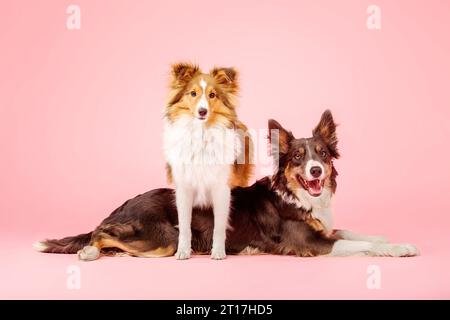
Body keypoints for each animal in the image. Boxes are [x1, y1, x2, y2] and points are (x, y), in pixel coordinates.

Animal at [34, 110, 418, 260]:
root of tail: (123, 204)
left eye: (322, 154)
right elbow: (358, 244)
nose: (315, 172)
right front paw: (398, 248)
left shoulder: (324, 228)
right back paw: (88, 250)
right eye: (297, 157)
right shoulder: (310, 243)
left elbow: (355, 232)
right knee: (101, 233)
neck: (295, 195)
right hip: (165, 238)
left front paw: (392, 239)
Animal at [163, 63, 253, 260]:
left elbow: (219, 226)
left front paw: (218, 252)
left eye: (212, 95)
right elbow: (185, 226)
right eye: (193, 93)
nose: (202, 111)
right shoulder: (184, 188)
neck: (201, 132)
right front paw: (183, 251)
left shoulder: (221, 188)